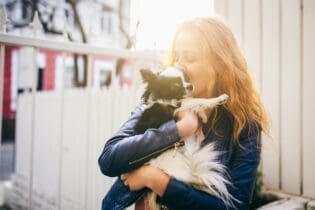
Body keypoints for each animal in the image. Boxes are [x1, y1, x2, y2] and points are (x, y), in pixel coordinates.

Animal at [136, 67, 235, 210]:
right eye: (175, 86)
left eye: (186, 78)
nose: (190, 86)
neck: (165, 97)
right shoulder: (178, 106)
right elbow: (197, 100)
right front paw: (219, 99)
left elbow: (194, 103)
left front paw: (202, 116)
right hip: (177, 161)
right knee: (191, 178)